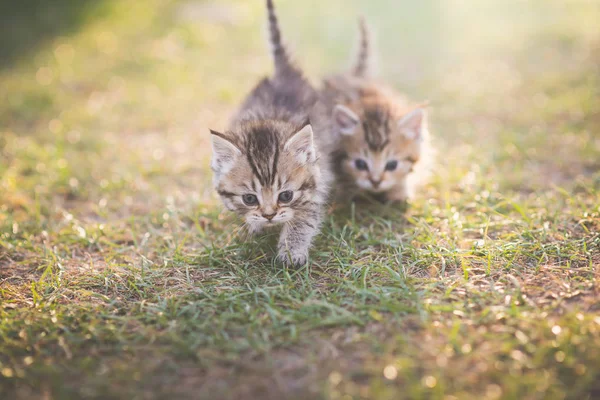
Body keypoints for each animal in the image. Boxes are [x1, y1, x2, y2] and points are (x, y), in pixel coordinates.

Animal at [210, 0, 332, 268]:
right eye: (249, 199)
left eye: (285, 195)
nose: (269, 215)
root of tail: (282, 73)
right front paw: (254, 225)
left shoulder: (318, 181)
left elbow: (303, 218)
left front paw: (292, 250)